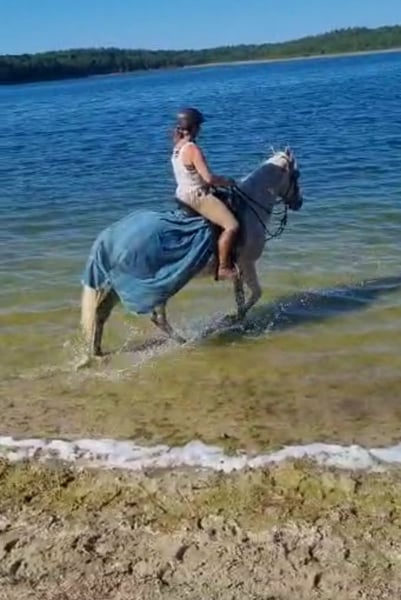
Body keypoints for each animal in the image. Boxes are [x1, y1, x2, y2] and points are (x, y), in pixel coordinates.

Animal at [80, 147, 303, 361]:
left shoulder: (237, 269)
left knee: (102, 313)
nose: (299, 202)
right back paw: (185, 341)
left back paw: (97, 352)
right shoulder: (246, 264)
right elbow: (255, 294)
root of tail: (108, 239)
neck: (249, 208)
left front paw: (235, 319)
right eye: (297, 175)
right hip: (156, 286)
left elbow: (240, 297)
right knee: (156, 318)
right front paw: (233, 320)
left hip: (119, 287)